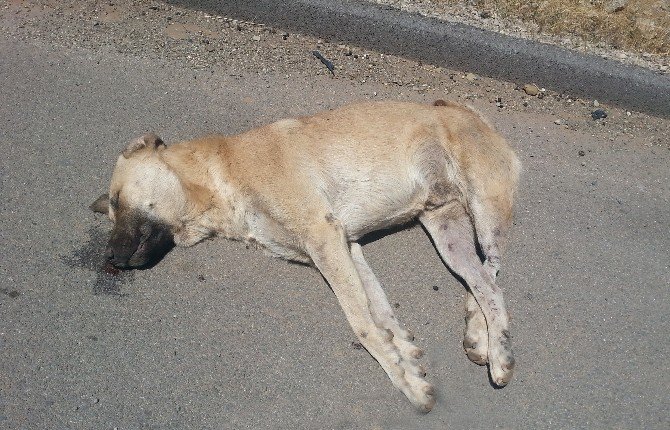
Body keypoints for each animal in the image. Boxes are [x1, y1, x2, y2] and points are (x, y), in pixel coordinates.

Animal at [93, 99, 524, 412]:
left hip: (484, 207)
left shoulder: (324, 237)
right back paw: (479, 333)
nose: (110, 257)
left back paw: (497, 353)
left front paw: (406, 384)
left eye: (116, 200)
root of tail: (463, 111)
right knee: (483, 282)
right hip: (448, 232)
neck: (223, 174)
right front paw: (406, 358)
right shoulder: (347, 247)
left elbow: (363, 325)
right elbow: (381, 316)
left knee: (493, 275)